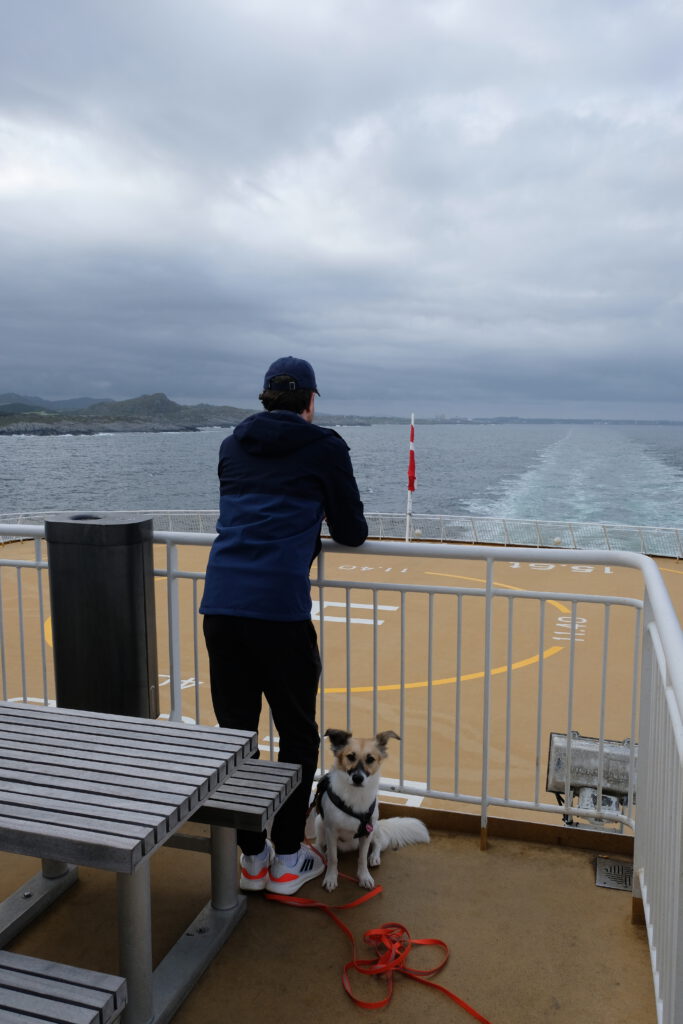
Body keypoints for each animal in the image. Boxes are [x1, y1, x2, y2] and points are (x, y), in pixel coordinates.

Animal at [313, 729, 430, 888]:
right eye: (350, 757)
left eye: (370, 759)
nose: (358, 778)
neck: (355, 795)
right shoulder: (331, 831)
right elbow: (333, 858)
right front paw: (331, 877)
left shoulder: (366, 832)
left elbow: (362, 859)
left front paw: (364, 877)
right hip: (320, 823)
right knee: (319, 843)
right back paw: (320, 853)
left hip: (374, 828)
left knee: (380, 842)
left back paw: (374, 857)